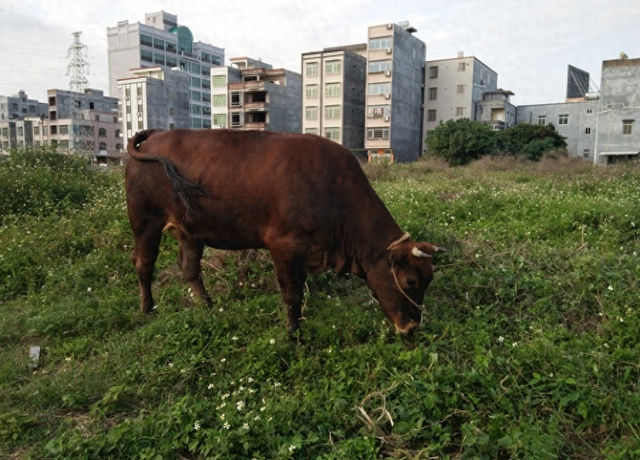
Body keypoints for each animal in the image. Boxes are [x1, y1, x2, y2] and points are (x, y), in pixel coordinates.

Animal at [125, 129, 444, 338]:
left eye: (428, 280)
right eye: (411, 281)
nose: (412, 328)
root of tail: (156, 134)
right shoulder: (283, 245)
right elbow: (291, 292)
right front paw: (292, 332)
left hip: (191, 231)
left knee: (190, 269)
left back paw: (208, 306)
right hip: (145, 222)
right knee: (144, 264)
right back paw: (147, 308)